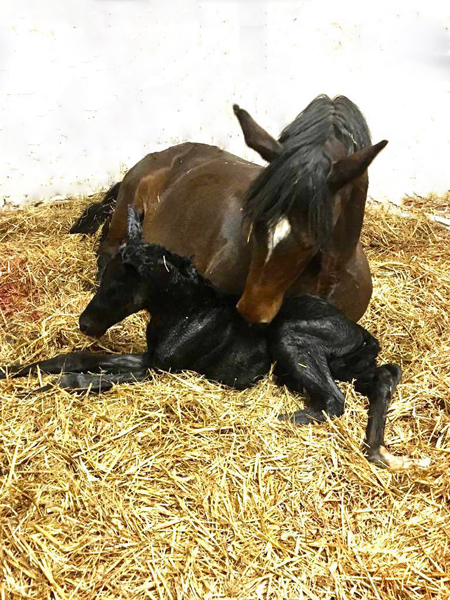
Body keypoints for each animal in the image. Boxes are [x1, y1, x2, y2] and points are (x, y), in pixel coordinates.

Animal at [0, 209, 422, 472]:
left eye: (119, 284)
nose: (86, 323)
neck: (185, 312)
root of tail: (365, 339)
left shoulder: (161, 368)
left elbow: (95, 375)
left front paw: (50, 388)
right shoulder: (150, 357)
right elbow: (75, 358)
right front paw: (16, 371)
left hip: (291, 337)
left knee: (336, 401)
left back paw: (286, 419)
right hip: (347, 366)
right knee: (382, 378)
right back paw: (378, 450)